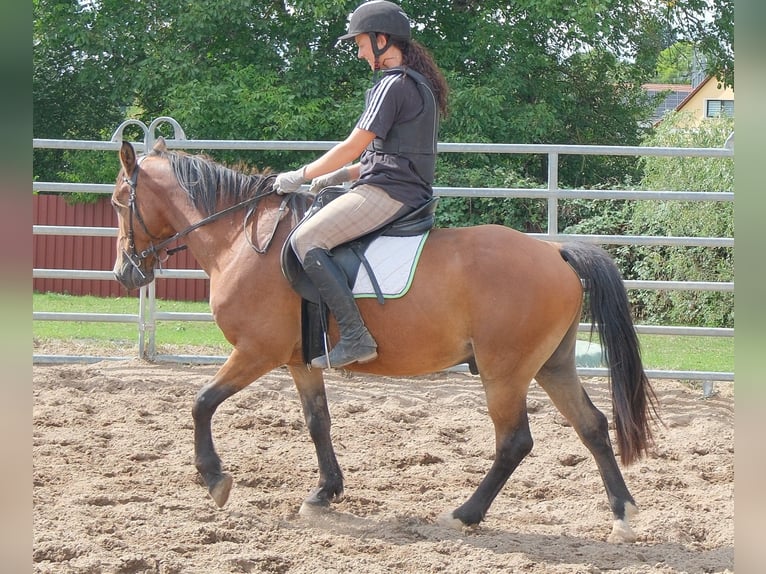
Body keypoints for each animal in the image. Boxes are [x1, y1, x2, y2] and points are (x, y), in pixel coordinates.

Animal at [112, 137, 658, 543]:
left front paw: (215, 480)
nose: (124, 273)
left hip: (504, 372)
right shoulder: (300, 361)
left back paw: (465, 513)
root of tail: (556, 253)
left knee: (514, 442)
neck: (244, 242)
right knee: (592, 426)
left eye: (119, 200)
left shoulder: (255, 352)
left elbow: (201, 402)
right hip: (551, 365)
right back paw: (624, 514)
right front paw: (325, 492)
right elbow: (318, 422)